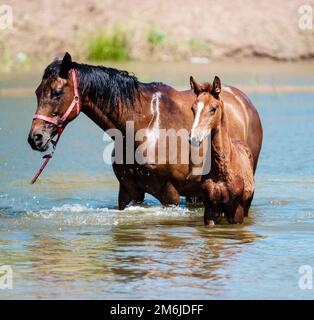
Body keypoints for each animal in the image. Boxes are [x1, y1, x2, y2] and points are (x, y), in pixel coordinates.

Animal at [28, 53, 262, 218]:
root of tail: (244, 102)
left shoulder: (169, 194)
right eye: (38, 92)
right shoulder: (129, 192)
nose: (35, 138)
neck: (143, 125)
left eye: (57, 92)